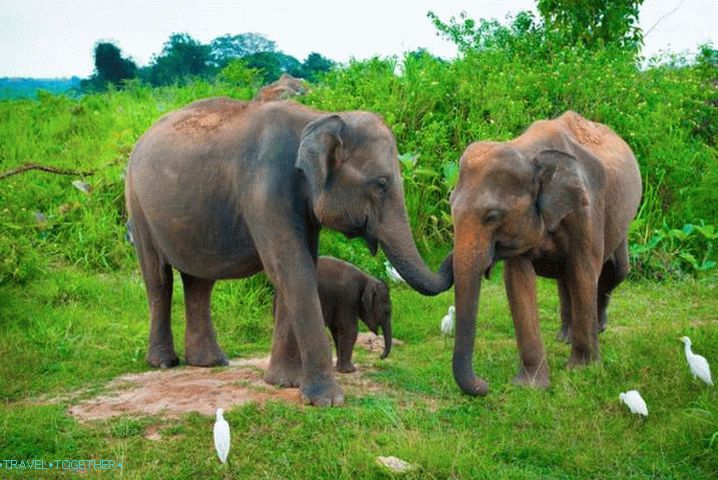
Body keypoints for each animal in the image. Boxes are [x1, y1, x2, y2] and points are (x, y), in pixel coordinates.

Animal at [126, 96, 452, 404]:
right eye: (380, 184)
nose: (450, 257)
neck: (318, 118)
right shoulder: (266, 190)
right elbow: (293, 269)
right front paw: (326, 400)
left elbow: (296, 269)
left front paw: (285, 383)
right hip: (137, 204)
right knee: (158, 278)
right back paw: (164, 362)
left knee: (199, 282)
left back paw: (209, 362)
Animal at [452, 110, 644, 396]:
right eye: (450, 205)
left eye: (493, 216)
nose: (484, 385)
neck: (527, 152)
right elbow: (518, 282)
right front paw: (531, 386)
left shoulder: (586, 210)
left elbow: (584, 272)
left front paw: (583, 371)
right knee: (566, 278)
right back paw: (564, 337)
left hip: (621, 222)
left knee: (615, 271)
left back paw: (598, 328)